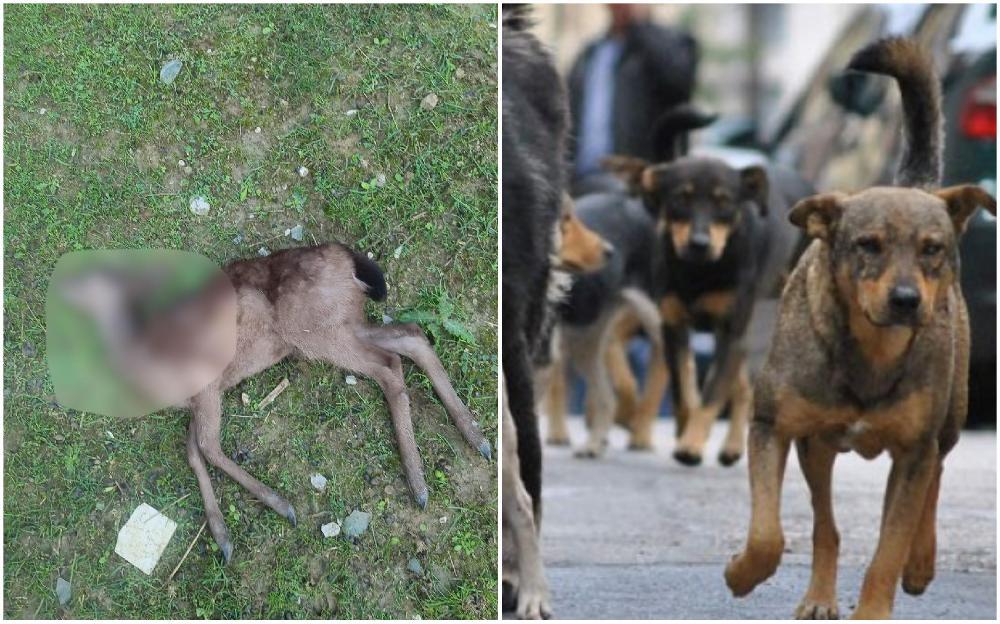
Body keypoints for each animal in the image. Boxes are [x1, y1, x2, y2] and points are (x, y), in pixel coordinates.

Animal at [604, 124, 808, 466]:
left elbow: (713, 391)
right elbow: (683, 387)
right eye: (680, 199)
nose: (699, 243)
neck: (699, 272)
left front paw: (692, 444)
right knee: (739, 384)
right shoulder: (672, 325)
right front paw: (684, 429)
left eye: (724, 202)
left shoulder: (731, 328)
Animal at [724, 39, 996, 620]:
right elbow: (770, 533)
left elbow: (888, 549)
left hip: (948, 418)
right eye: (868, 244)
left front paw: (877, 603)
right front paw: (742, 573)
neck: (872, 349)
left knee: (935, 476)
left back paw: (922, 563)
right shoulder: (775, 427)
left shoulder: (913, 449)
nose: (906, 300)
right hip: (819, 448)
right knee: (826, 523)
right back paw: (819, 596)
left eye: (932, 249)